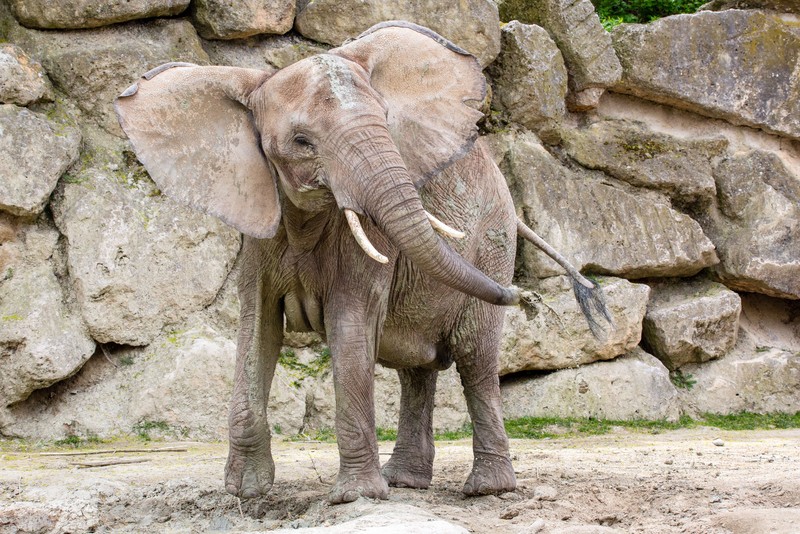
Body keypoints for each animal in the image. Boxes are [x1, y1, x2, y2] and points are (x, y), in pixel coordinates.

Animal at [115, 21, 610, 503]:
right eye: (302, 141)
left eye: (386, 123)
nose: (526, 297)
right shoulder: (259, 227)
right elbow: (257, 327)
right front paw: (245, 493)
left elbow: (350, 324)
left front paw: (355, 497)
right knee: (417, 369)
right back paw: (406, 481)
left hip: (494, 240)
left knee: (475, 361)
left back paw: (487, 489)